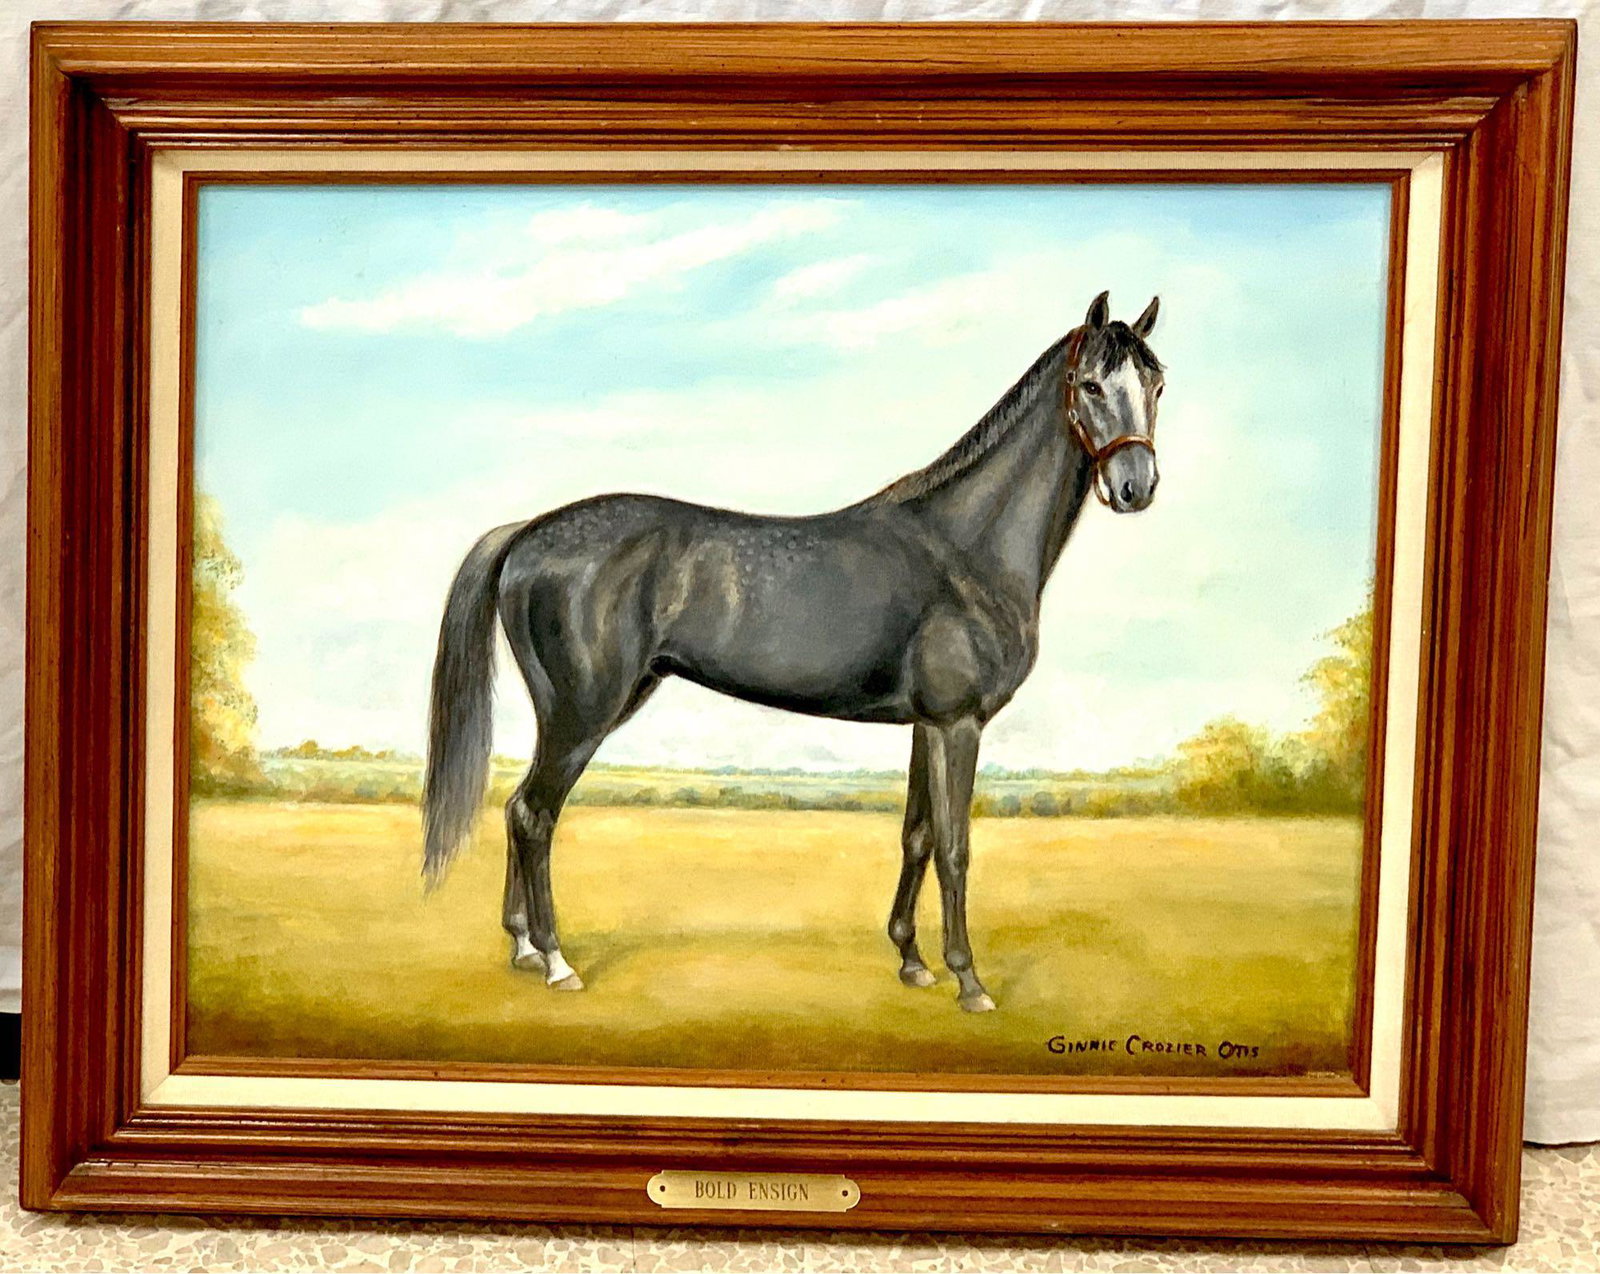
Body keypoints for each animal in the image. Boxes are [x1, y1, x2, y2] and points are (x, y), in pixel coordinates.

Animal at [422, 291, 1164, 1012]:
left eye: (1156, 382)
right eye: (1091, 384)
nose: (1136, 487)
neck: (964, 547)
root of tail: (527, 533)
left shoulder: (926, 724)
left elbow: (917, 835)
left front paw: (911, 960)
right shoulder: (959, 724)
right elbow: (956, 847)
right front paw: (969, 981)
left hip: (583, 707)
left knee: (518, 807)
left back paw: (522, 948)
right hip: (583, 712)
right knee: (535, 814)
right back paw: (555, 961)